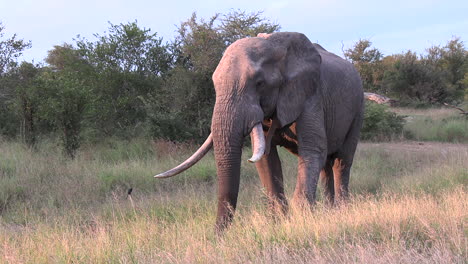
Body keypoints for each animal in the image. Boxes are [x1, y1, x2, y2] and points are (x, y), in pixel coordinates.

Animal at [155, 32, 364, 232]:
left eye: (259, 83)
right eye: (214, 84)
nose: (215, 237)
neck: (275, 45)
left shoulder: (310, 94)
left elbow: (312, 151)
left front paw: (302, 222)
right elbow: (266, 159)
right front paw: (279, 223)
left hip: (358, 108)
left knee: (342, 161)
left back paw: (341, 210)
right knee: (326, 165)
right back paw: (329, 211)